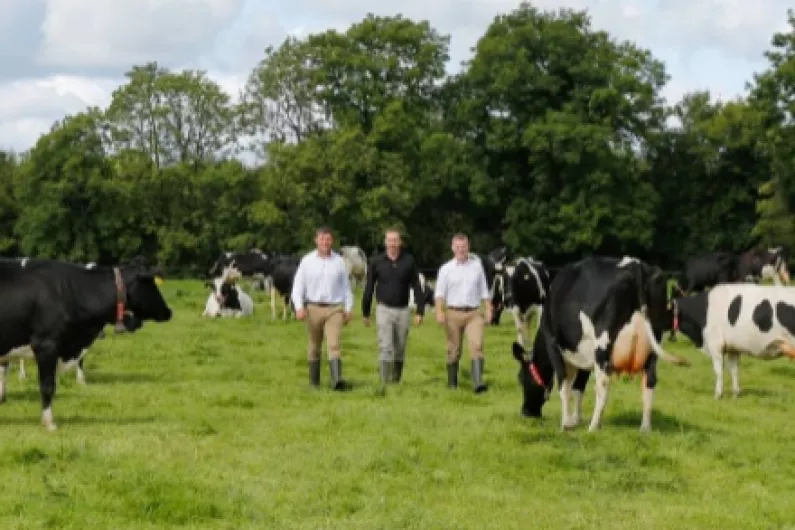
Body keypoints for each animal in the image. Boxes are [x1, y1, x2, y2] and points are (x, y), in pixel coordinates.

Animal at [510, 254, 692, 432]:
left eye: (521, 378)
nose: (526, 412)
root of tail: (635, 265)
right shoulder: (583, 355)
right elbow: (578, 386)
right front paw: (576, 419)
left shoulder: (553, 344)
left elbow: (564, 384)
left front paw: (566, 423)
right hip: (653, 345)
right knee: (650, 381)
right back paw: (645, 428)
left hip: (602, 345)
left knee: (603, 385)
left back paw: (593, 426)